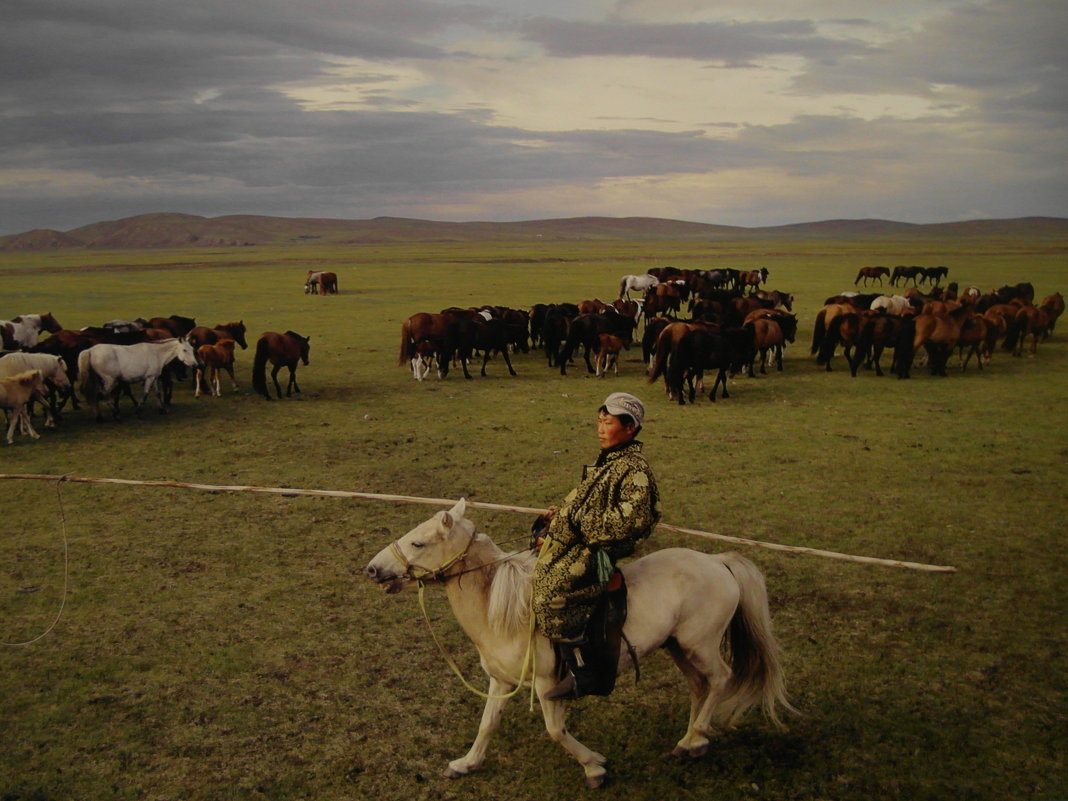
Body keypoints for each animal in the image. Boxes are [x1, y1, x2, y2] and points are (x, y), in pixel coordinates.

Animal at [367, 501, 794, 790]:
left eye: (418, 543)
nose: (373, 569)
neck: (502, 609)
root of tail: (718, 562)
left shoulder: (547, 686)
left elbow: (556, 732)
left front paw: (595, 766)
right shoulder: (501, 681)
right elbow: (487, 723)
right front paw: (465, 764)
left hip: (699, 645)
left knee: (721, 679)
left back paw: (694, 738)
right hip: (678, 648)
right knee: (700, 687)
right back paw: (692, 741)